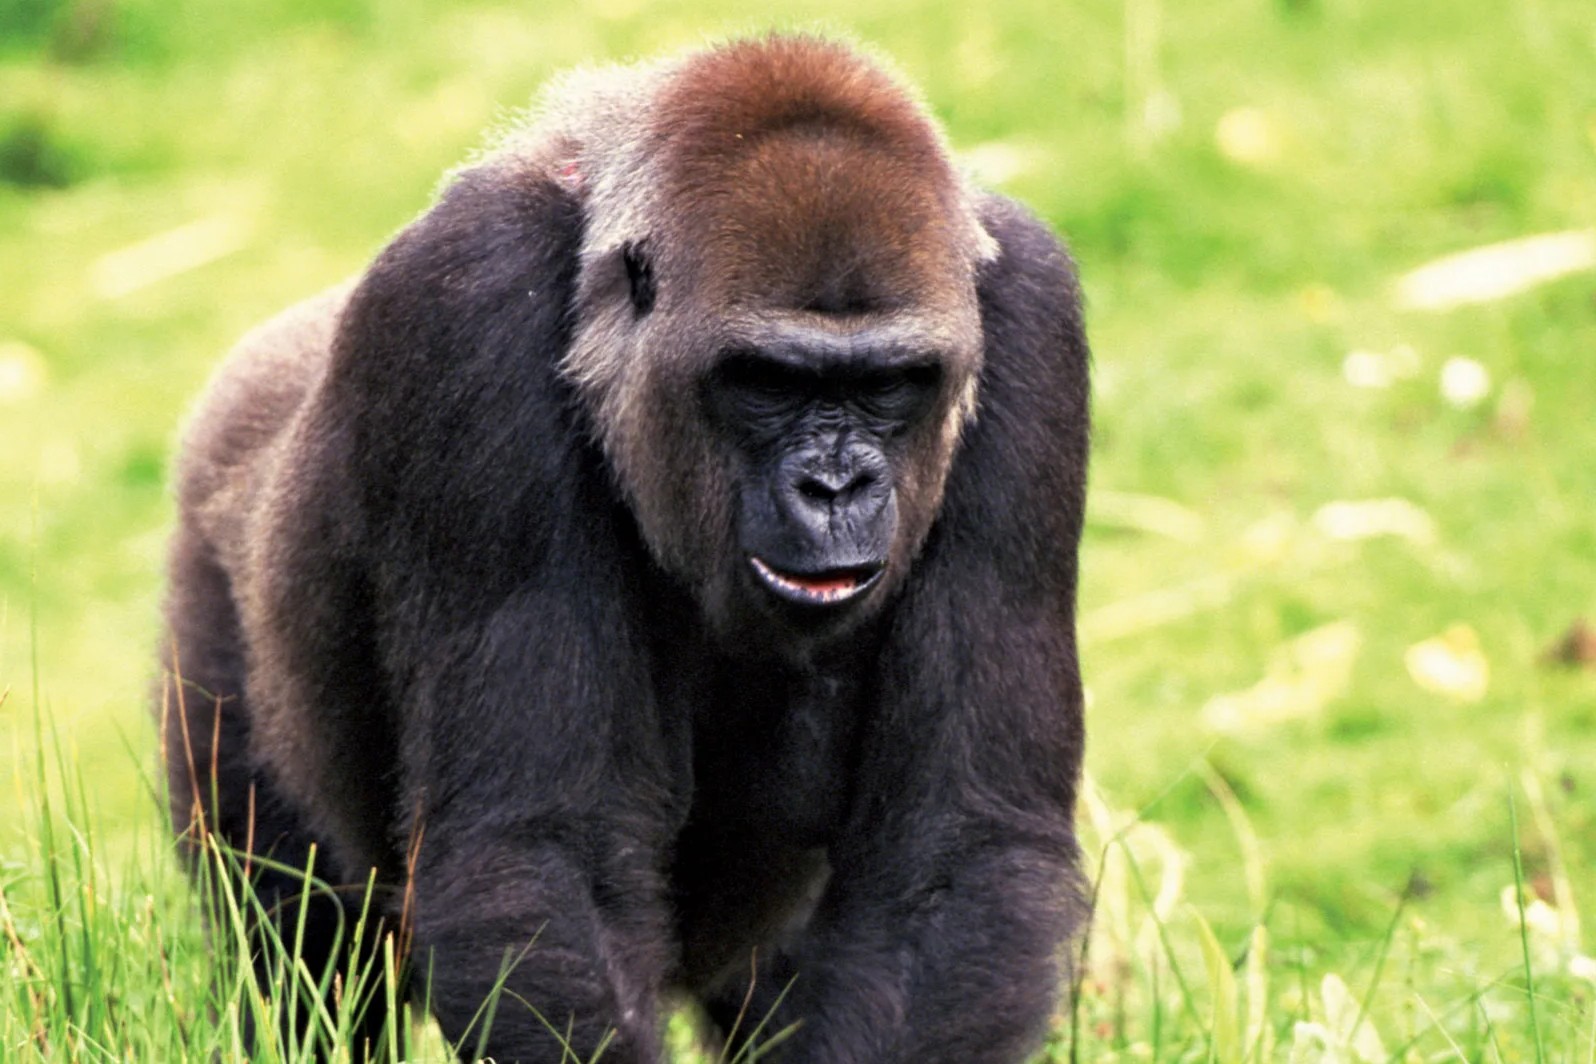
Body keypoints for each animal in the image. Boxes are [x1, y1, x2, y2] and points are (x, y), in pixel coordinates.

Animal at [160, 34, 1090, 1064]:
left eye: (890, 384)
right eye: (766, 382)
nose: (836, 487)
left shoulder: (1031, 315)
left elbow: (960, 855)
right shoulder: (470, 299)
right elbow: (537, 851)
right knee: (301, 955)